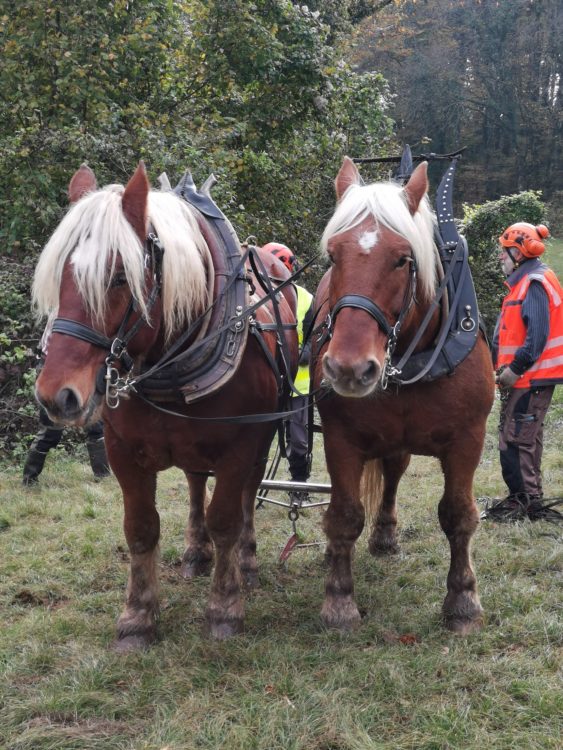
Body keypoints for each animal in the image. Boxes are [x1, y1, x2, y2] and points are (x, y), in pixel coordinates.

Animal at [32, 162, 300, 648]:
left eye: (119, 277)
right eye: (59, 274)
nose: (56, 395)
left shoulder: (239, 447)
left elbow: (227, 519)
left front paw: (225, 608)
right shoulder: (122, 453)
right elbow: (140, 528)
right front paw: (137, 616)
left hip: (264, 433)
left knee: (248, 494)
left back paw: (246, 563)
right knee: (195, 481)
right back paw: (196, 553)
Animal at [310, 157, 496, 636]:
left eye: (402, 259)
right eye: (333, 255)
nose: (349, 368)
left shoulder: (469, 439)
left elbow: (459, 514)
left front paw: (463, 600)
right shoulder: (341, 438)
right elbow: (344, 514)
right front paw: (339, 600)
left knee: (394, 473)